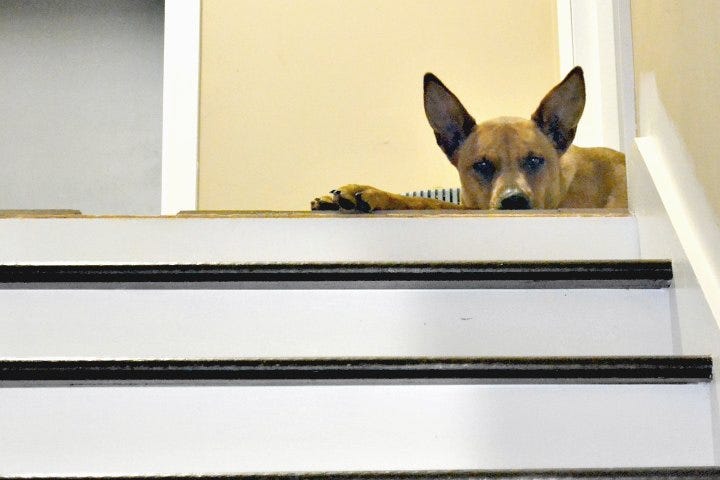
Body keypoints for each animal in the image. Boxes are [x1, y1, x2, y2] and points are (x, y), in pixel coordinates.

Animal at [312, 67, 628, 210]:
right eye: (482, 165)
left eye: (535, 160)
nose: (514, 202)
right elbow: (429, 203)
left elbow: (431, 204)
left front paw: (372, 193)